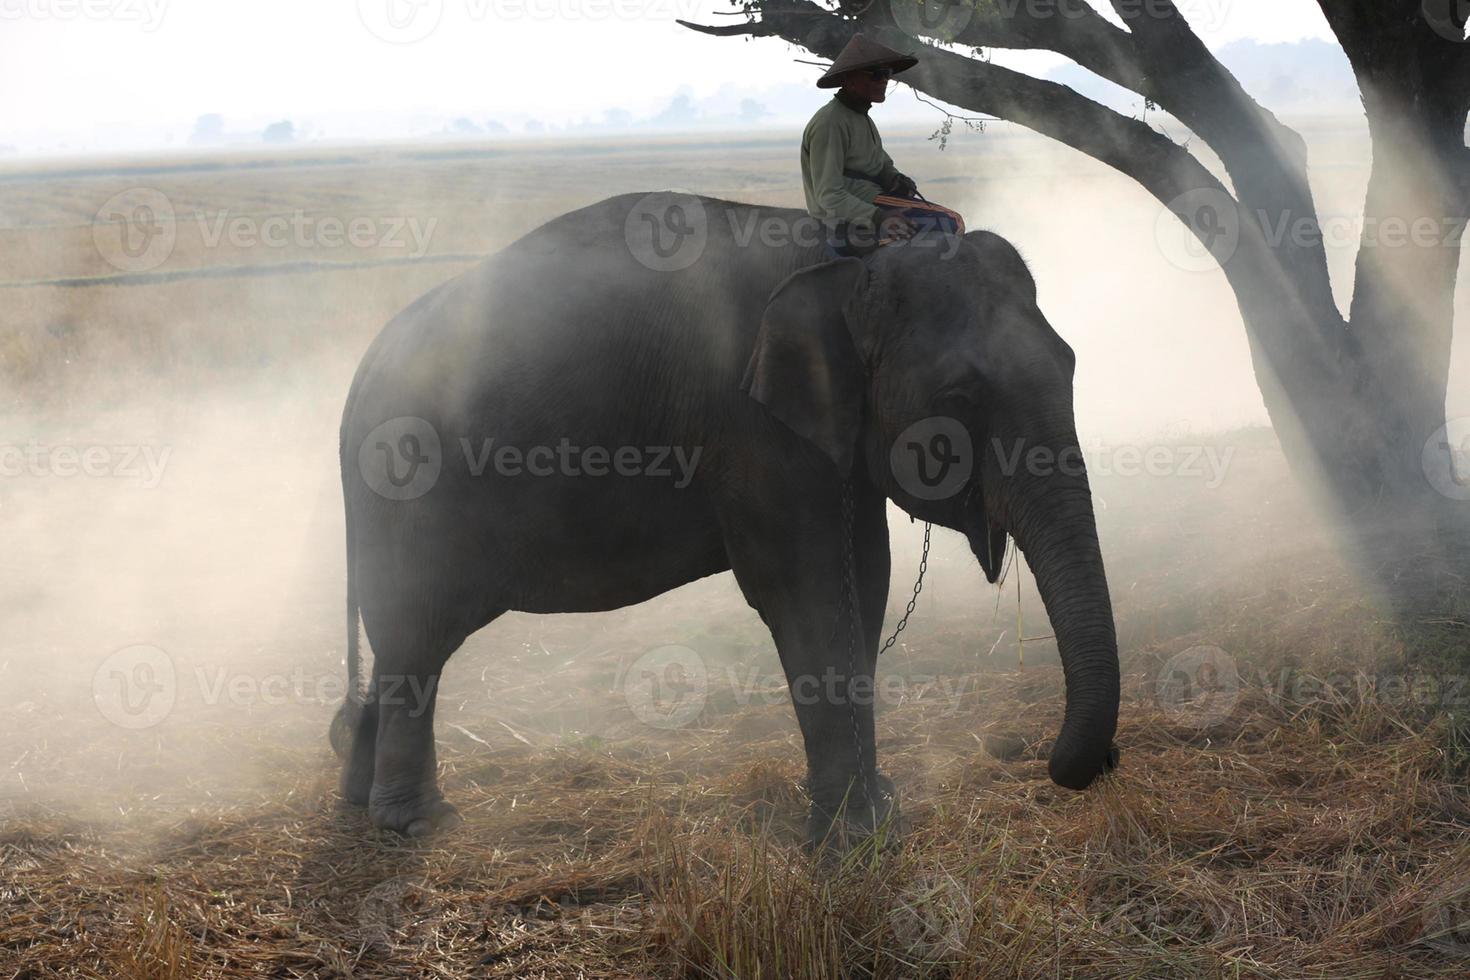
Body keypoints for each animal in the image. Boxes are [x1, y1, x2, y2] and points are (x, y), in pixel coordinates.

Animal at [330, 193, 1111, 846]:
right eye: (959, 398)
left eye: (1074, 364)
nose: (1075, 763)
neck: (844, 263)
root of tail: (359, 374)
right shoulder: (750, 425)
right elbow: (804, 590)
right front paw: (849, 836)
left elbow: (866, 579)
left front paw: (875, 809)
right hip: (407, 484)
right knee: (416, 634)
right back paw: (414, 821)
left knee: (408, 639)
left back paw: (357, 795)